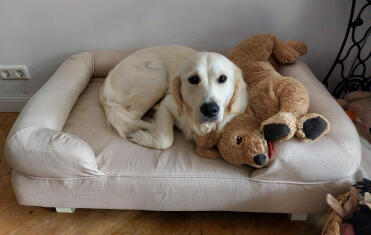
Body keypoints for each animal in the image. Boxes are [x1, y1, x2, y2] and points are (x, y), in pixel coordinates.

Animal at [100, 45, 248, 149]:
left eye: (222, 78)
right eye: (193, 79)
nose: (210, 110)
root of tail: (104, 87)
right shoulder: (168, 104)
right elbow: (166, 140)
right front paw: (141, 136)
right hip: (157, 77)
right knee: (130, 118)